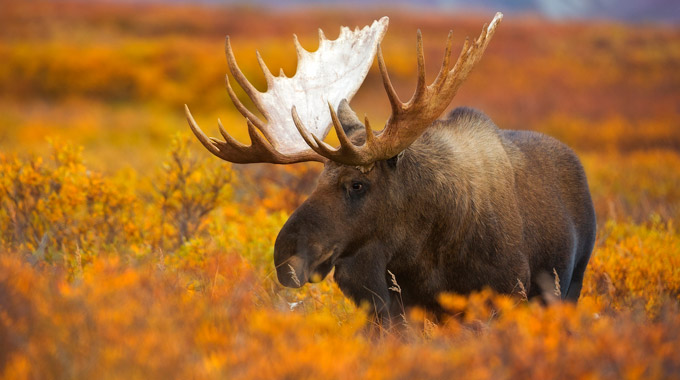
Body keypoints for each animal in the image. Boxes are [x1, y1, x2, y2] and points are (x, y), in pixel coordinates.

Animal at [185, 13, 596, 320]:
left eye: (357, 184)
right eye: (317, 179)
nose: (285, 257)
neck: (425, 253)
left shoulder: (505, 295)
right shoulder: (390, 307)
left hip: (570, 285)